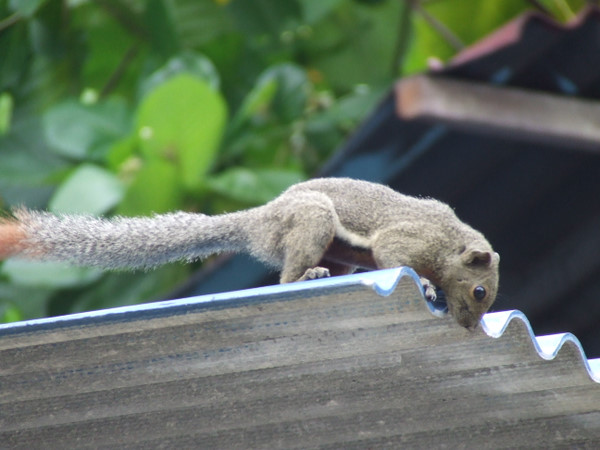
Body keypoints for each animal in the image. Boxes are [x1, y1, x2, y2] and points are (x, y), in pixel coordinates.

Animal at [0, 178, 500, 328]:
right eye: (479, 291)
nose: (469, 326)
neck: (451, 241)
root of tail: (260, 218)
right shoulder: (408, 240)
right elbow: (394, 253)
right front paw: (430, 285)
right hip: (312, 221)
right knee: (285, 276)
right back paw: (305, 277)